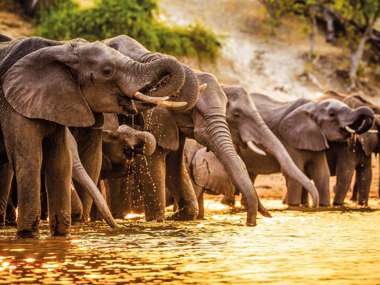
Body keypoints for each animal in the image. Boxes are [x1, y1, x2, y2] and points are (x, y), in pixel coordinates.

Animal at [0, 36, 188, 236]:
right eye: (107, 71)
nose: (116, 227)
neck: (58, 48)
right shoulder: (13, 104)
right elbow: (30, 160)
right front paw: (28, 236)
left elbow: (67, 161)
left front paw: (68, 231)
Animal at [101, 34, 320, 224]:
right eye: (193, 110)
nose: (250, 224)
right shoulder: (155, 119)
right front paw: (159, 221)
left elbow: (176, 168)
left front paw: (179, 216)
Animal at [189, 86, 372, 209]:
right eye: (332, 114)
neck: (312, 106)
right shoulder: (289, 139)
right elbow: (295, 174)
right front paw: (294, 206)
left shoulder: (316, 138)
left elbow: (322, 174)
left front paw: (323, 207)